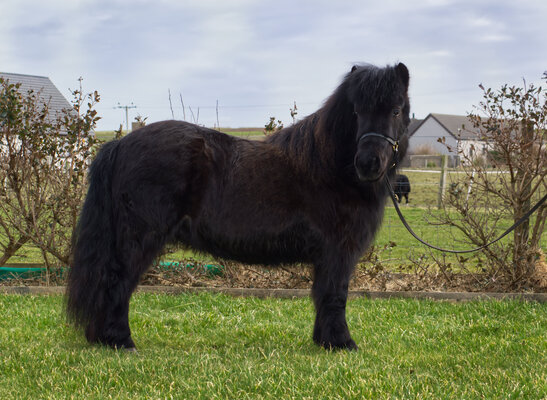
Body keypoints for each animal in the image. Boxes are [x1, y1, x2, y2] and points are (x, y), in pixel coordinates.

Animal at [67, 61, 412, 350]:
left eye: (396, 110)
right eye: (356, 111)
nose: (368, 163)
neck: (326, 166)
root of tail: (120, 144)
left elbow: (323, 295)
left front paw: (324, 340)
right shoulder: (337, 251)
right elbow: (334, 295)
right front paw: (340, 343)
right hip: (139, 237)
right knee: (118, 281)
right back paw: (120, 340)